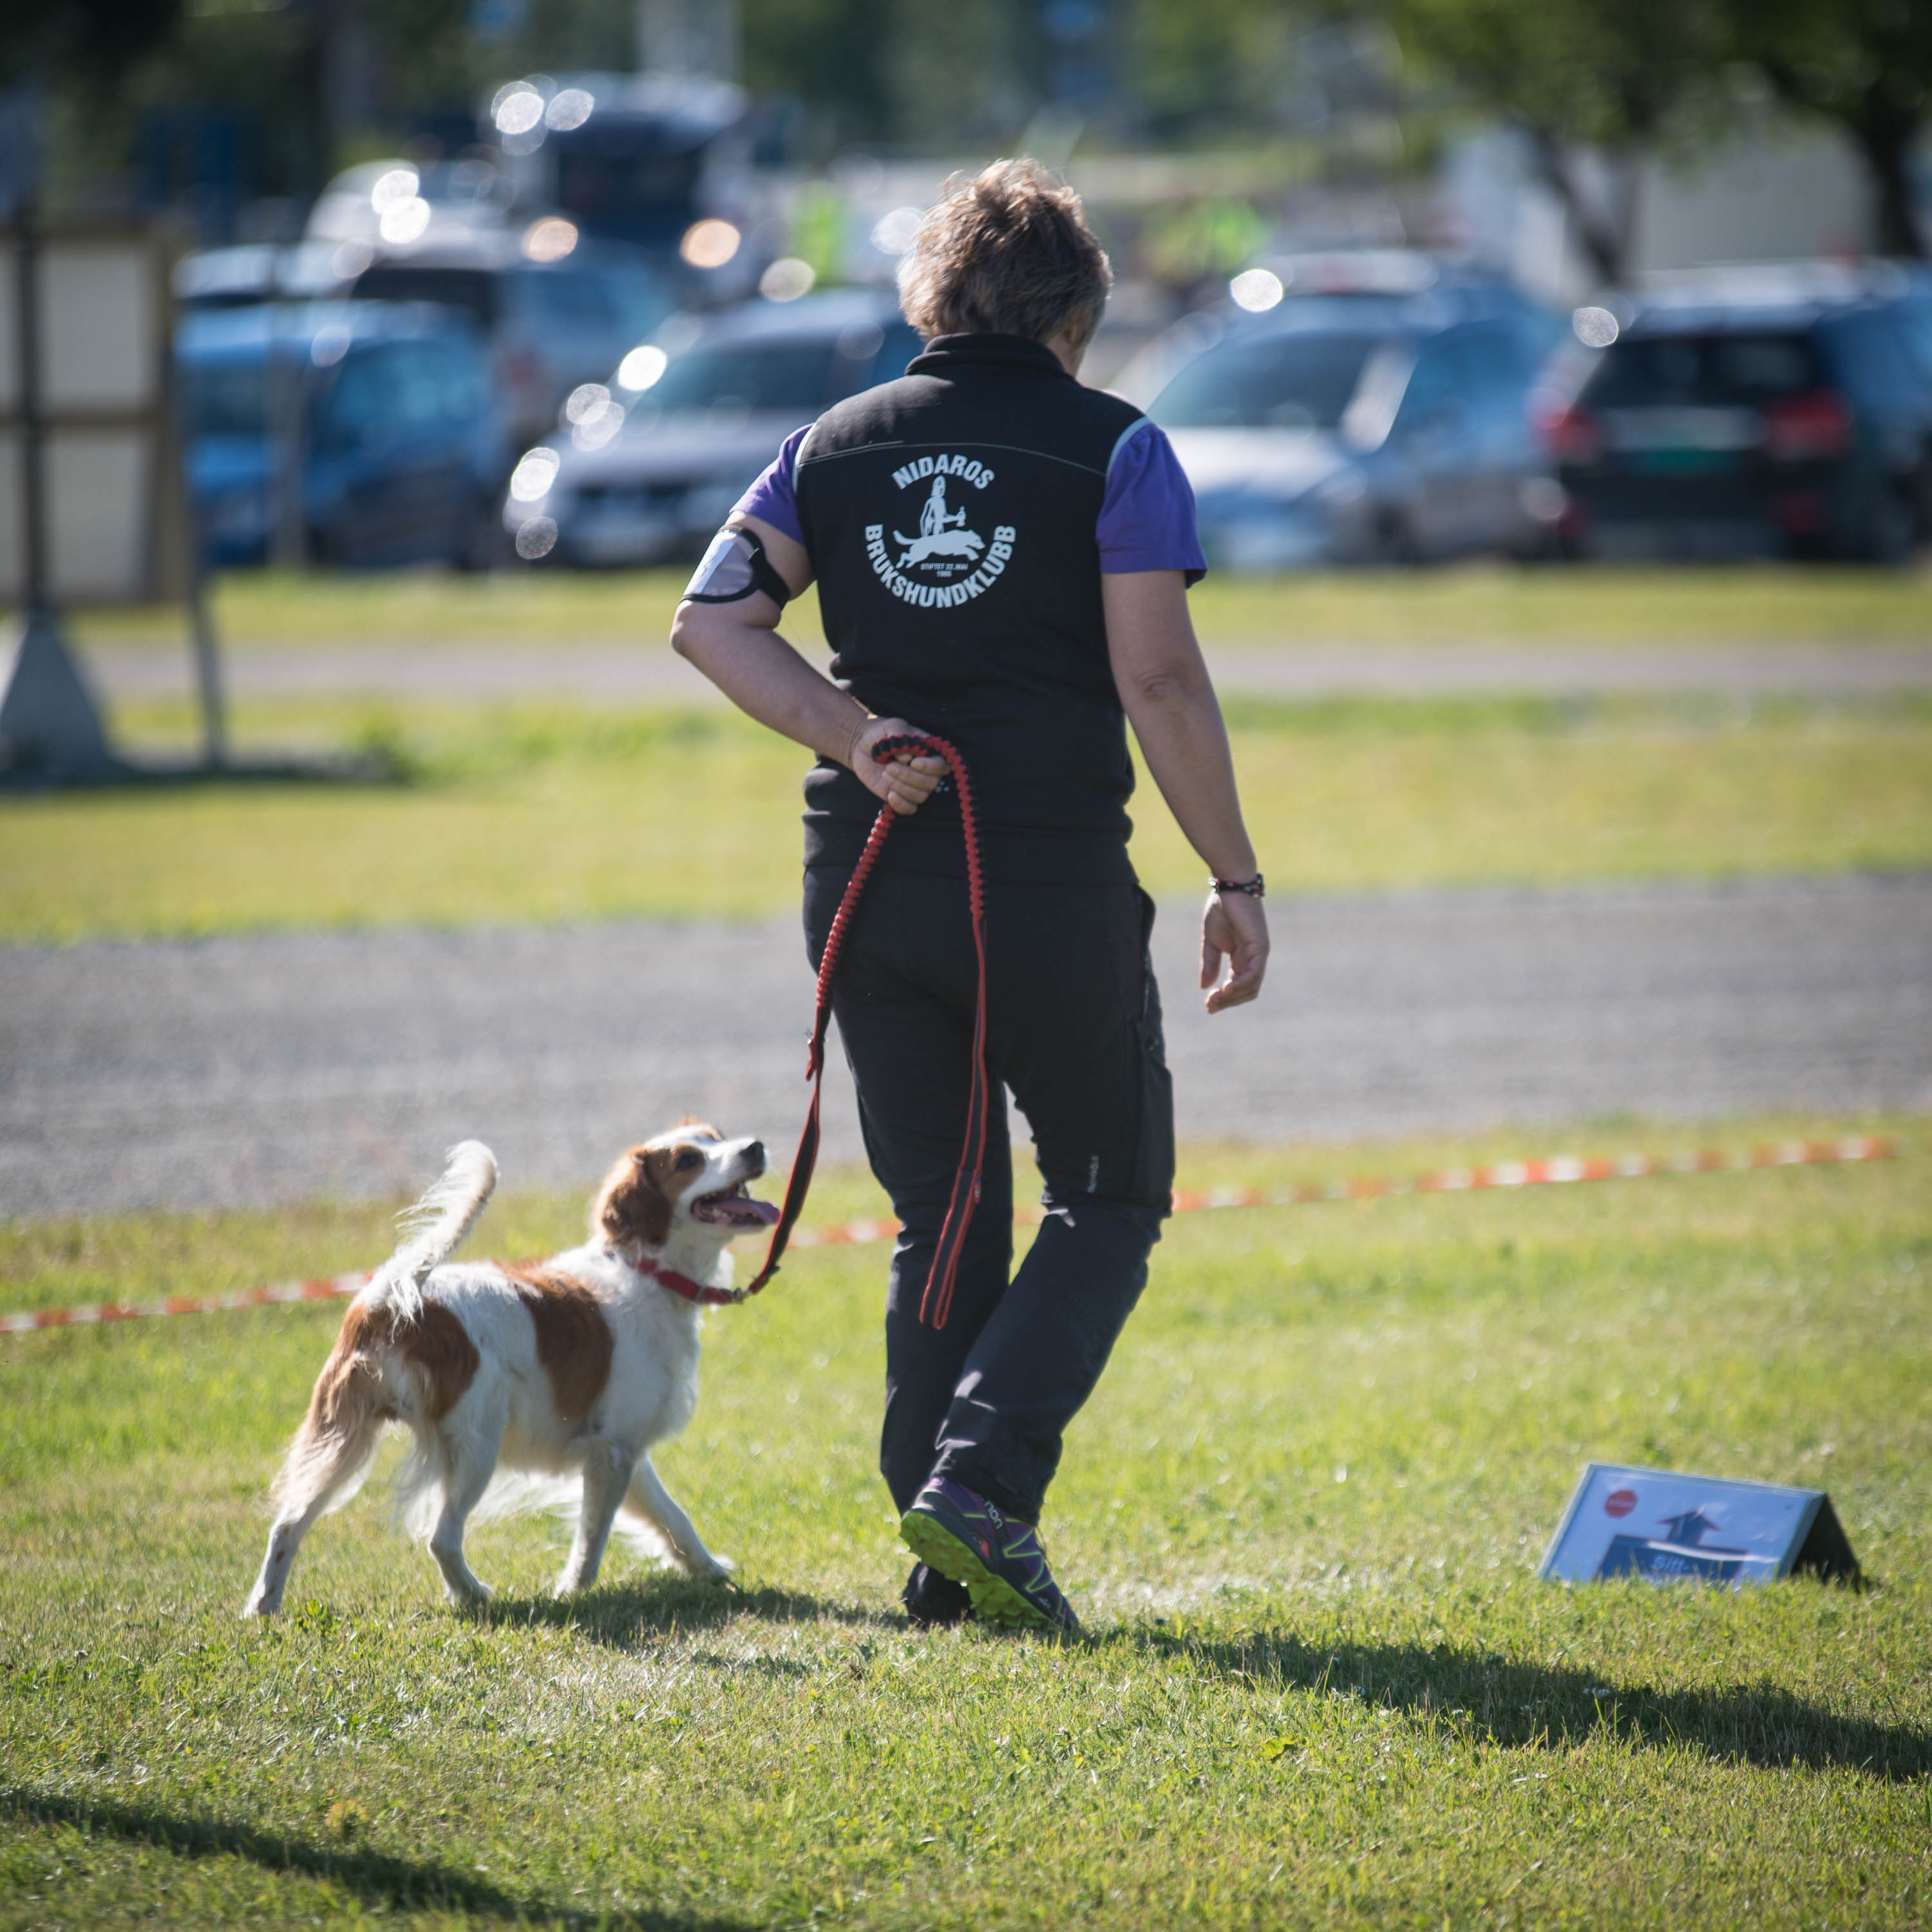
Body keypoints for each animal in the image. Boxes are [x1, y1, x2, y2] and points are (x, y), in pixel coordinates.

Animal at [243, 1128, 777, 1623]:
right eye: (688, 1160)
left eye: (718, 1137)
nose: (755, 1147)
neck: (646, 1272)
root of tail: (394, 1297)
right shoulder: (611, 1454)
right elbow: (593, 1540)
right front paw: (572, 1593)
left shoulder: (625, 1451)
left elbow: (674, 1520)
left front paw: (711, 1571)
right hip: (476, 1447)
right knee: (442, 1538)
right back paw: (473, 1595)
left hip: (342, 1439)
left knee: (288, 1524)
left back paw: (263, 1608)